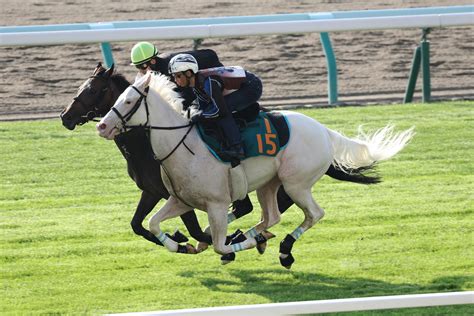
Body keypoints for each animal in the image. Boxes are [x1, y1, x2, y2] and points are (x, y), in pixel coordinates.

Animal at [97, 73, 414, 268]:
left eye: (128, 101)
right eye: (117, 98)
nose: (102, 126)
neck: (183, 145)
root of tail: (324, 131)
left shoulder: (216, 203)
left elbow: (219, 246)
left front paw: (235, 243)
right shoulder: (180, 200)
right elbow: (153, 224)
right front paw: (181, 245)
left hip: (296, 184)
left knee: (313, 214)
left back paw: (281, 249)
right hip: (268, 184)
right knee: (270, 216)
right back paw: (256, 236)